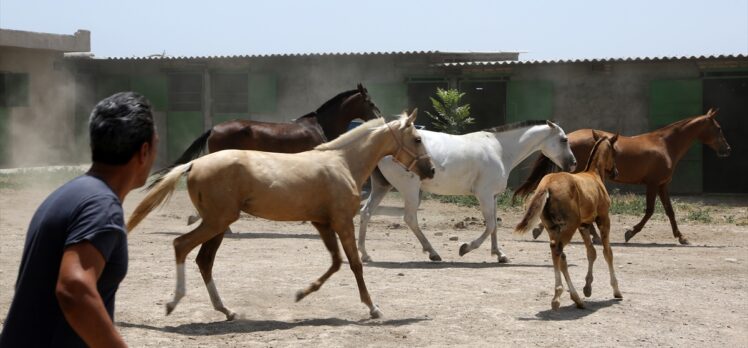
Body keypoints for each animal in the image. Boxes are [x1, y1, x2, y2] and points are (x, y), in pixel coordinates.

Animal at [126, 110, 436, 320]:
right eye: (418, 138)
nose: (430, 170)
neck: (343, 163)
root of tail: (194, 164)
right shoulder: (342, 221)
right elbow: (355, 264)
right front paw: (373, 308)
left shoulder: (322, 223)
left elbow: (336, 262)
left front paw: (302, 293)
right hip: (217, 222)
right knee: (182, 246)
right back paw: (174, 302)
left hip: (219, 224)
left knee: (204, 261)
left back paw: (226, 310)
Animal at [360, 121, 576, 262]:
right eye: (564, 139)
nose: (573, 164)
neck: (499, 149)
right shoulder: (484, 194)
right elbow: (490, 226)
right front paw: (465, 248)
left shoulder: (493, 196)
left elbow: (494, 226)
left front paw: (499, 255)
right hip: (410, 189)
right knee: (410, 219)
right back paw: (433, 253)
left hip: (381, 187)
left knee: (366, 213)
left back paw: (365, 255)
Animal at [516, 109, 732, 245]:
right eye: (718, 128)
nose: (727, 149)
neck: (665, 144)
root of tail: (568, 137)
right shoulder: (653, 184)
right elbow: (650, 211)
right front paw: (630, 233)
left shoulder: (662, 185)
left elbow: (670, 212)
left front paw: (682, 237)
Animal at [516, 133, 624, 310]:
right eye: (614, 152)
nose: (616, 172)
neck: (594, 175)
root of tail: (546, 185)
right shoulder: (603, 219)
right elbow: (607, 252)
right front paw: (616, 290)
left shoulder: (584, 225)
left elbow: (591, 252)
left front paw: (588, 288)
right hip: (569, 227)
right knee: (558, 251)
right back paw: (562, 297)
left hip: (554, 228)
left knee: (559, 254)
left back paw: (573, 298)